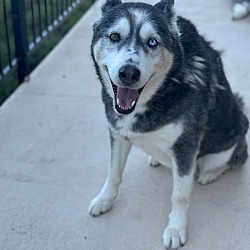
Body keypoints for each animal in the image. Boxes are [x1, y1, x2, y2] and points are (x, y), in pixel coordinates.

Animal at [88, 0, 248, 248]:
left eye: (152, 42)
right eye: (114, 36)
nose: (128, 73)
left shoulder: (186, 146)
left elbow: (179, 195)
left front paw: (175, 229)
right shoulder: (118, 133)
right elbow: (113, 173)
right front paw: (104, 200)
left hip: (228, 143)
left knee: (229, 160)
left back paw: (210, 174)